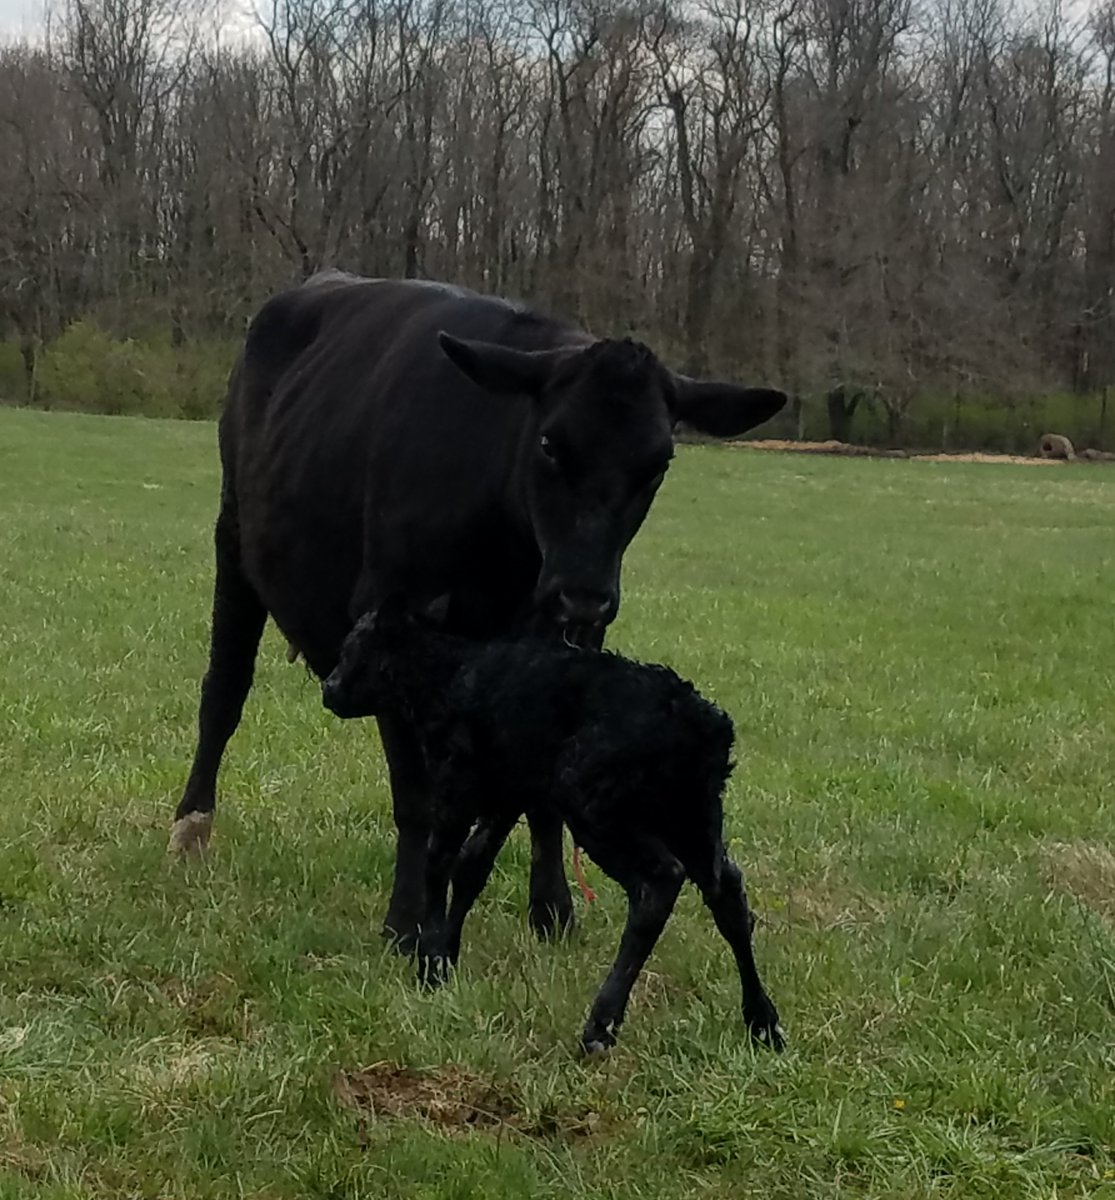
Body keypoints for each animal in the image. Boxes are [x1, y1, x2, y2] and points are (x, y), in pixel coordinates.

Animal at [169, 271, 786, 953]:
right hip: (233, 537)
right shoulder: (389, 628)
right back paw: (191, 826)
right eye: (549, 444)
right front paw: (409, 921)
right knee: (223, 690)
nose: (583, 593)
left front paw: (552, 910)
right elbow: (416, 796)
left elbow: (540, 797)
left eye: (659, 463)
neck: (507, 550)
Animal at [322, 601, 784, 1056]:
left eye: (353, 647)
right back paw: (763, 1022)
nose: (329, 688)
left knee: (658, 882)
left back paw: (600, 1027)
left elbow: (438, 865)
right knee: (727, 891)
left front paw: (430, 966)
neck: (445, 676)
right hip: (693, 815)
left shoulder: (457, 789)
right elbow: (471, 868)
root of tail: (701, 726)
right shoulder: (506, 797)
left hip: (598, 803)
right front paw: (447, 953)